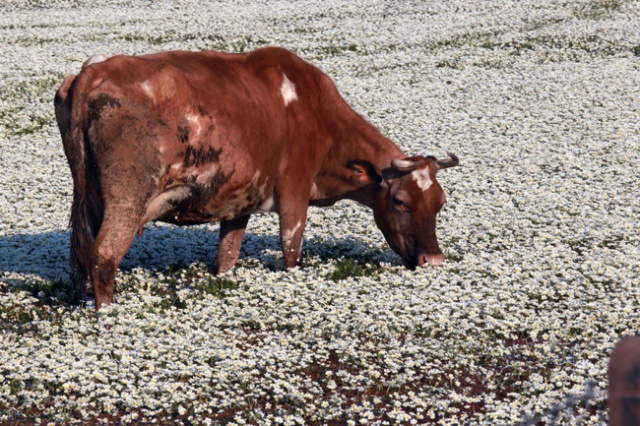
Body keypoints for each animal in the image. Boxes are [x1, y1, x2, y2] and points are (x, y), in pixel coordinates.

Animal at [52, 46, 458, 308]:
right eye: (400, 201)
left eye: (439, 203)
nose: (434, 261)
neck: (314, 112)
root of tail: (93, 70)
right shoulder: (294, 196)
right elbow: (291, 251)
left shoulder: (238, 202)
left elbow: (228, 254)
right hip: (127, 200)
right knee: (104, 256)